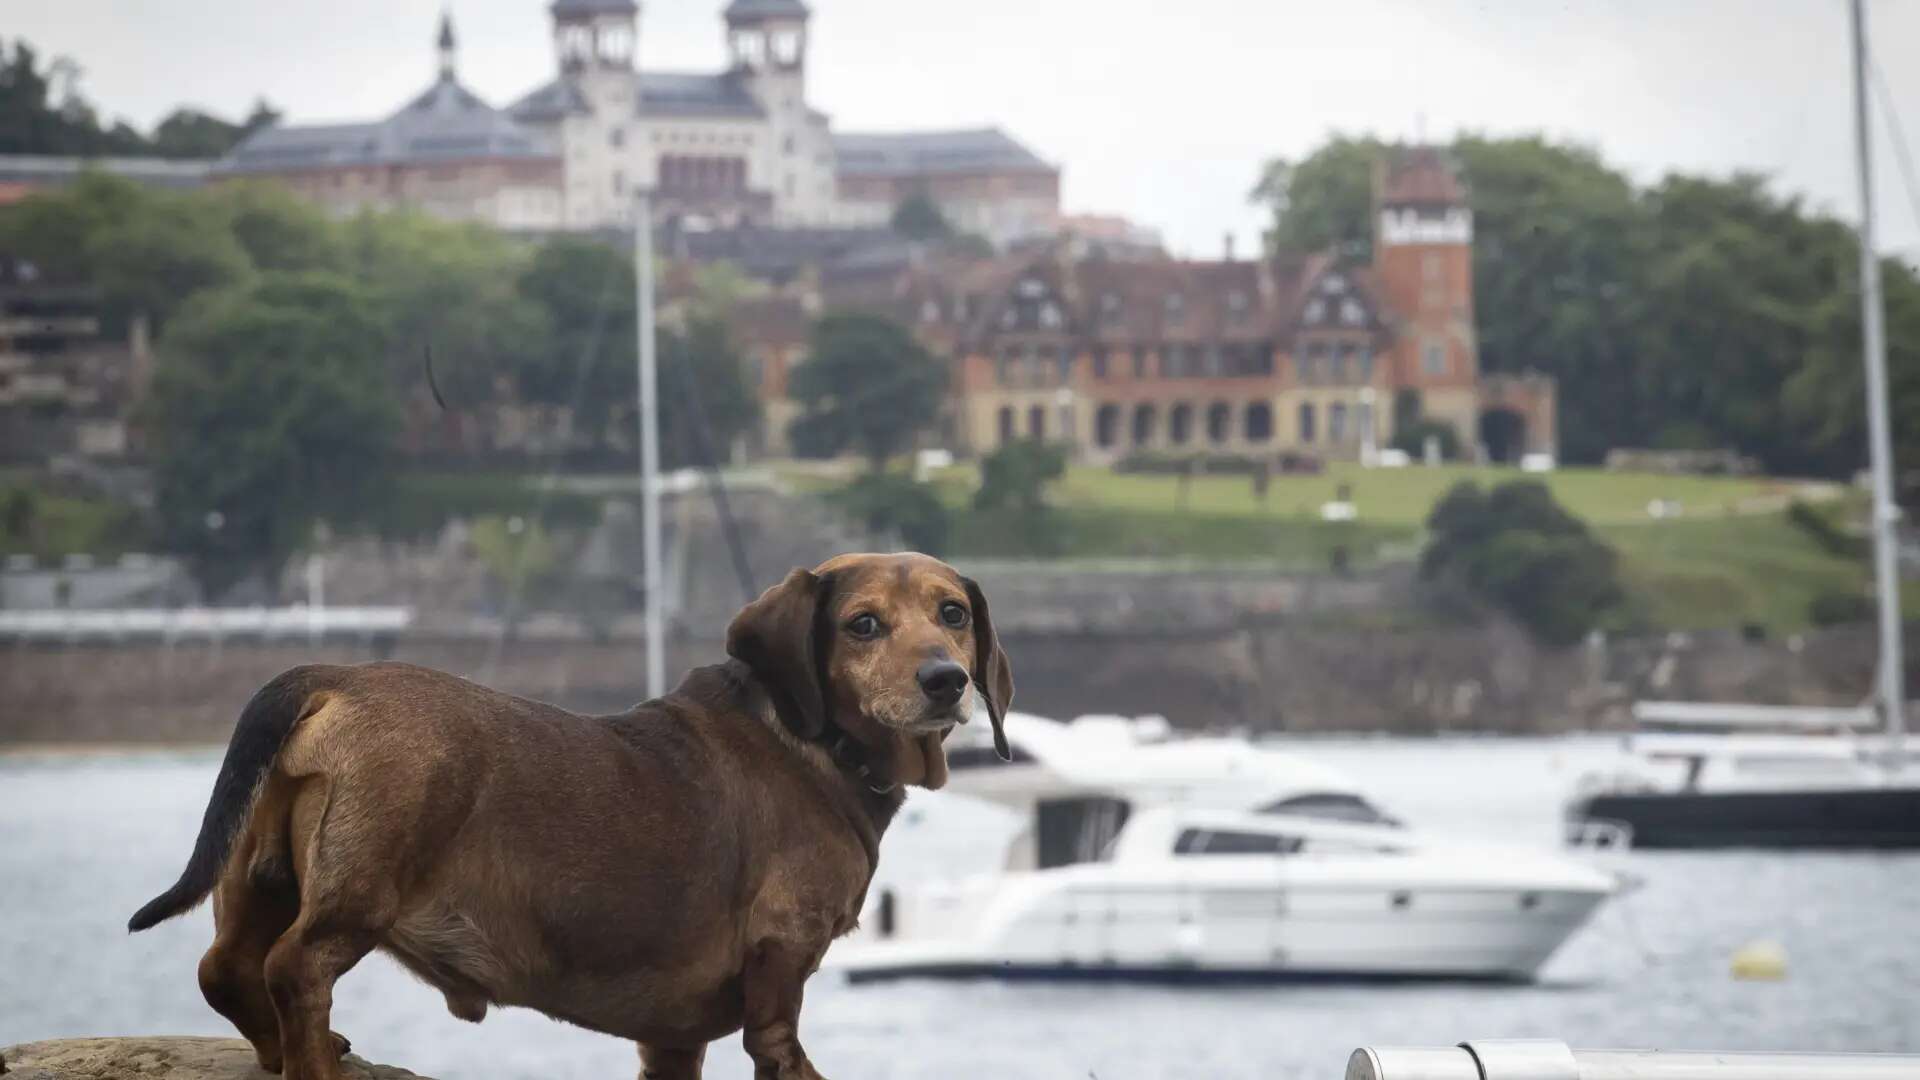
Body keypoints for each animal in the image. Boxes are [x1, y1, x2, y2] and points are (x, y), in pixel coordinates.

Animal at [127, 549, 1013, 1076]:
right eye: (864, 624)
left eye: (954, 613)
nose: (945, 680)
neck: (810, 740)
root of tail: (333, 678)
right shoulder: (780, 967)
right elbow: (783, 1048)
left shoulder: (672, 1036)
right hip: (359, 890)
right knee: (293, 968)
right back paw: (311, 1060)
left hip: (260, 873)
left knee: (225, 969)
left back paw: (284, 1053)